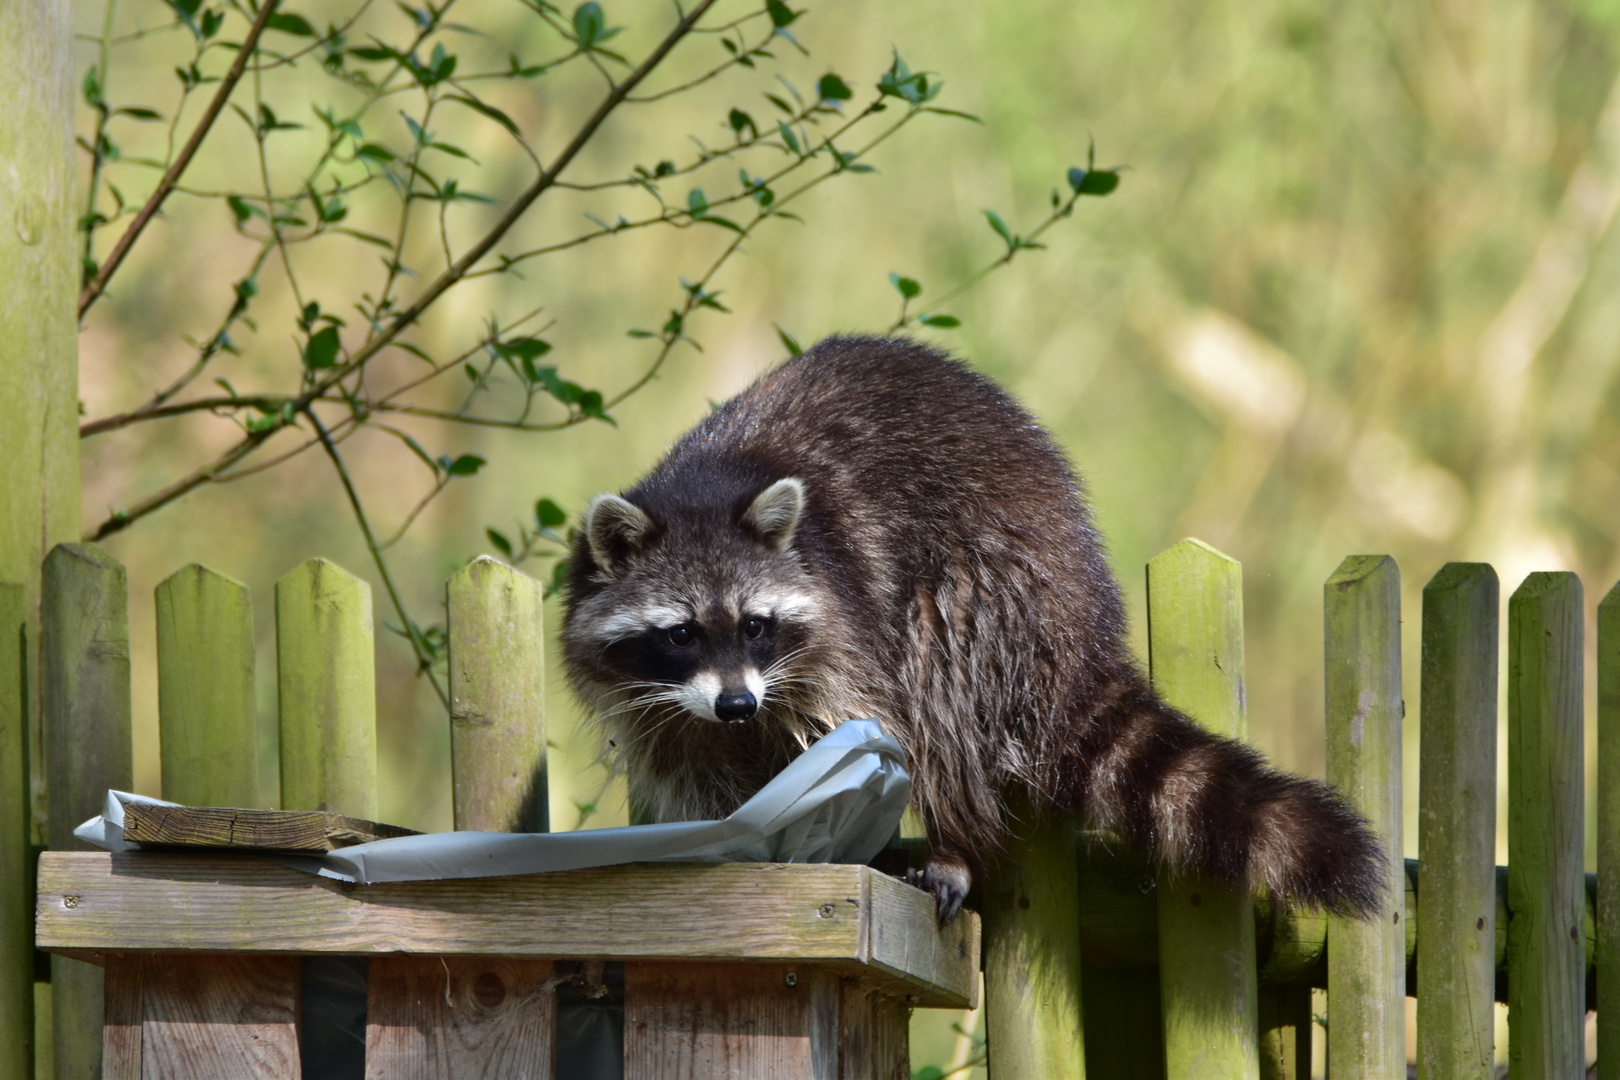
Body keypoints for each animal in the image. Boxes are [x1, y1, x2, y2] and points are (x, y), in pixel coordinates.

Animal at [560, 335, 1380, 919]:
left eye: (756, 624)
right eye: (681, 633)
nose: (737, 705)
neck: (706, 485)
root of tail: (1086, 617)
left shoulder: (845, 620)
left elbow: (871, 719)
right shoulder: (669, 704)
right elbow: (697, 762)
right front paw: (732, 834)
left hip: (996, 593)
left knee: (938, 689)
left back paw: (956, 839)